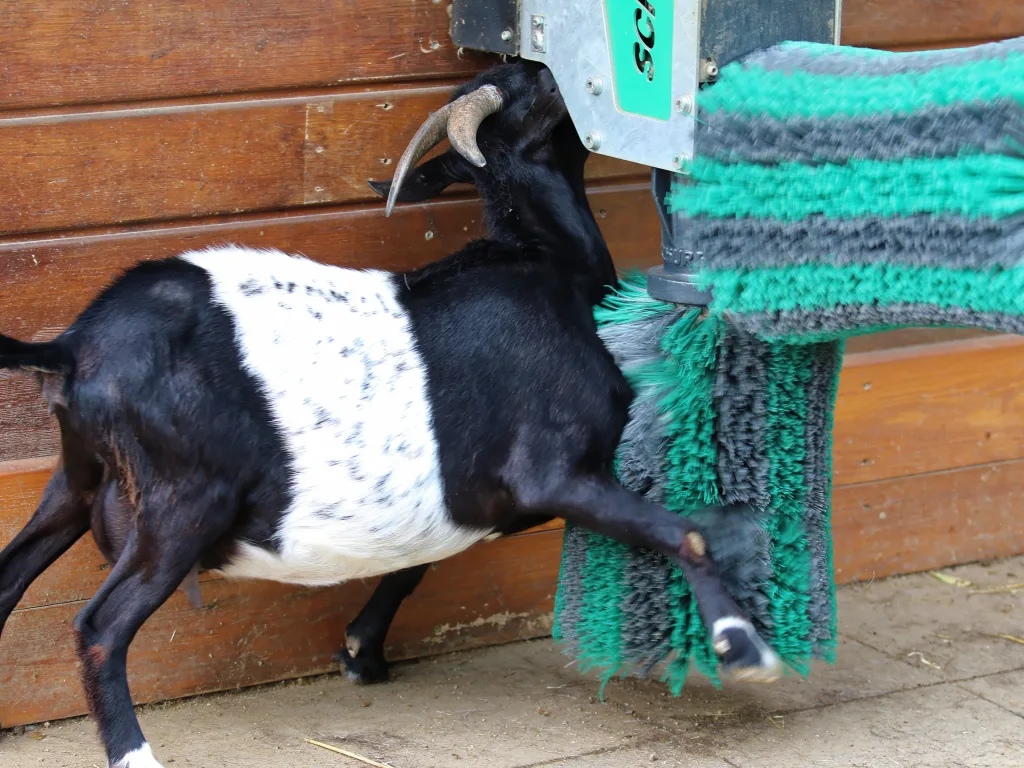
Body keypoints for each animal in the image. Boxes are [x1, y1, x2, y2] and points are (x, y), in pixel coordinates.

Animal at [0, 61, 781, 768]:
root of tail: (73, 348)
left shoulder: (461, 496)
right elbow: (683, 533)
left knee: (10, 575)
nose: (564, 73)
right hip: (180, 501)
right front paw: (742, 645)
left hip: (76, 478)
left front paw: (361, 652)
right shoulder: (554, 471)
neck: (545, 267)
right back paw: (134, 753)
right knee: (101, 627)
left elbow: (415, 560)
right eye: (532, 93)